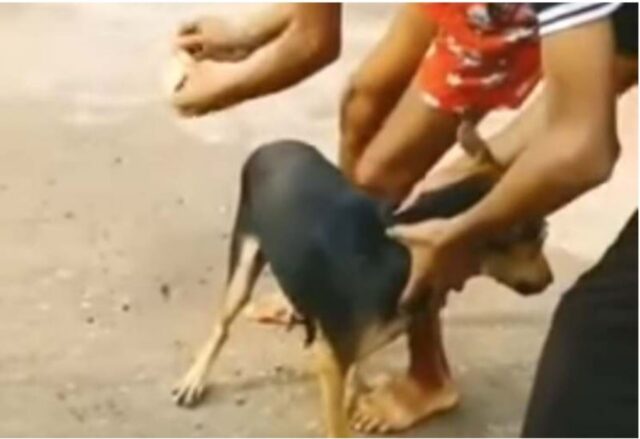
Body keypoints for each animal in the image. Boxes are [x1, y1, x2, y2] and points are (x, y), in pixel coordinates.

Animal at [172, 138, 552, 436]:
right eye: (538, 235)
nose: (550, 280)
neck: (402, 253)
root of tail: (271, 145)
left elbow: (352, 377)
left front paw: (356, 391)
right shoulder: (329, 357)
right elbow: (337, 422)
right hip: (244, 257)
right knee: (222, 326)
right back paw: (195, 379)